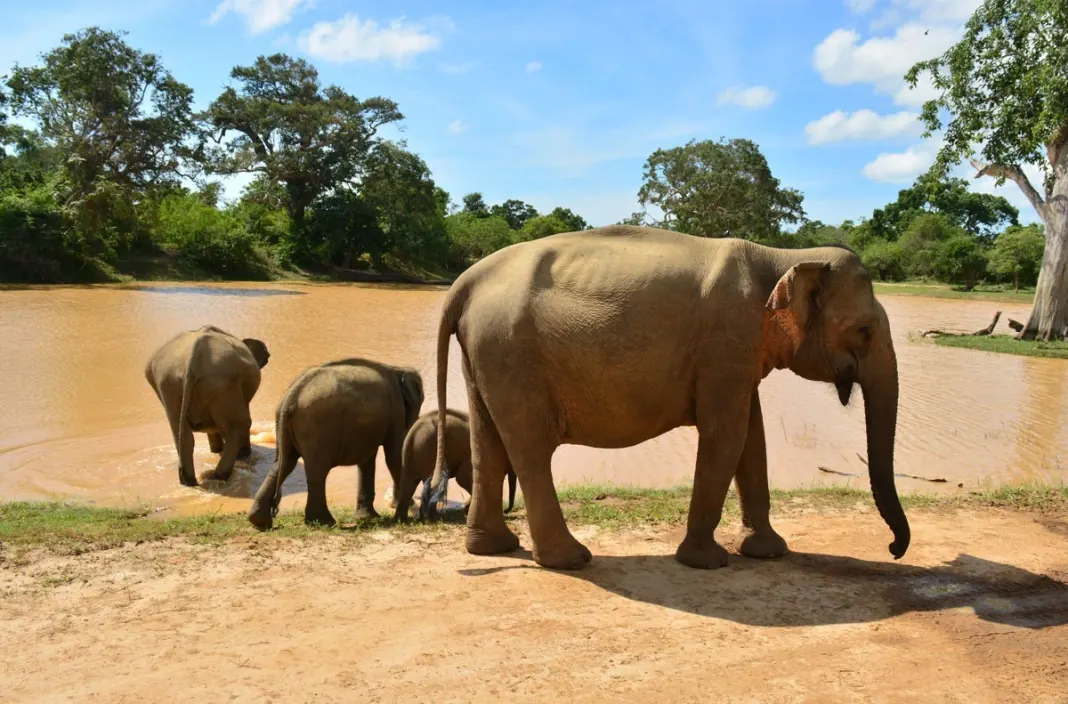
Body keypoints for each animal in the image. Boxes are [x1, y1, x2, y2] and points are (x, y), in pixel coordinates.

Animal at [144, 324, 271, 487]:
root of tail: (193, 355)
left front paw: (217, 452)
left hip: (168, 383)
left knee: (182, 435)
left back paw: (189, 482)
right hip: (223, 384)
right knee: (239, 426)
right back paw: (220, 477)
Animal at [247, 357, 424, 530]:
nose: (392, 503)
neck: (398, 369)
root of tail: (290, 398)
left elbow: (367, 461)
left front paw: (367, 517)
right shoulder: (396, 409)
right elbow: (394, 457)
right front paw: (408, 507)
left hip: (284, 426)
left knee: (283, 464)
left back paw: (259, 521)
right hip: (316, 427)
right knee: (317, 470)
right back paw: (324, 522)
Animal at [420, 224, 910, 571]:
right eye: (864, 331)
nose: (892, 548)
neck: (783, 256)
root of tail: (464, 281)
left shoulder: (736, 355)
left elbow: (753, 437)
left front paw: (768, 553)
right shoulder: (728, 338)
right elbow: (726, 435)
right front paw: (706, 563)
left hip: (484, 354)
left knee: (489, 441)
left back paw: (494, 549)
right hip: (510, 351)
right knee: (529, 448)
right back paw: (571, 560)